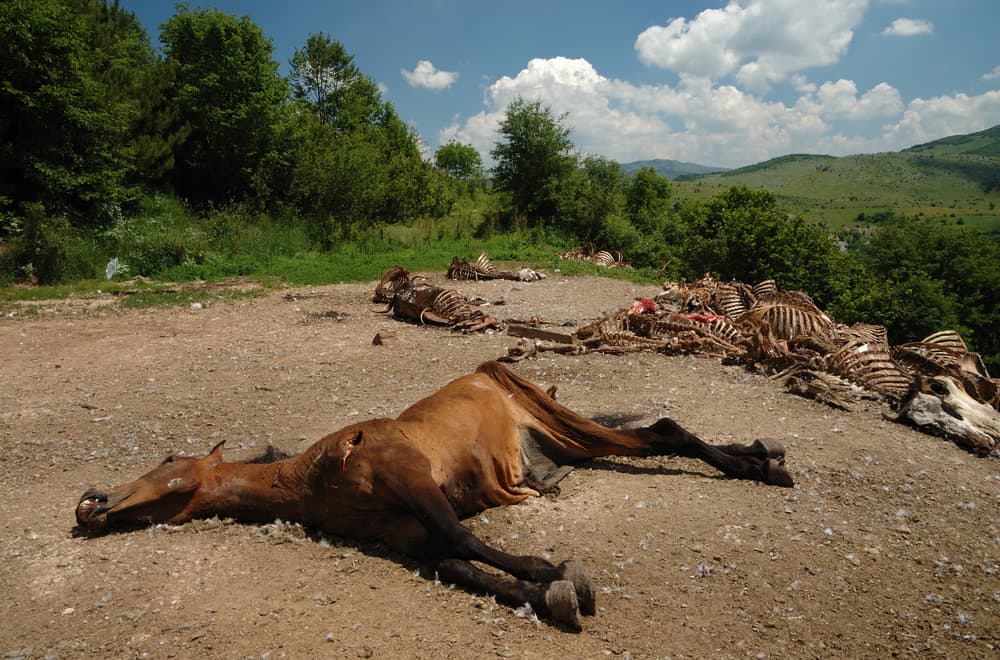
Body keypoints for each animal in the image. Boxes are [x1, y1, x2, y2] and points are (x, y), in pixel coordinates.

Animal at [75, 360, 793, 630]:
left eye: (169, 460)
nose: (92, 503)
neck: (309, 476)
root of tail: (491, 371)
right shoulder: (405, 533)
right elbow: (456, 564)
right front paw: (547, 594)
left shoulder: (412, 479)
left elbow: (466, 538)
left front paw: (558, 574)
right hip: (559, 446)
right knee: (648, 435)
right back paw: (761, 457)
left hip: (564, 428)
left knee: (662, 432)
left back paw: (764, 467)